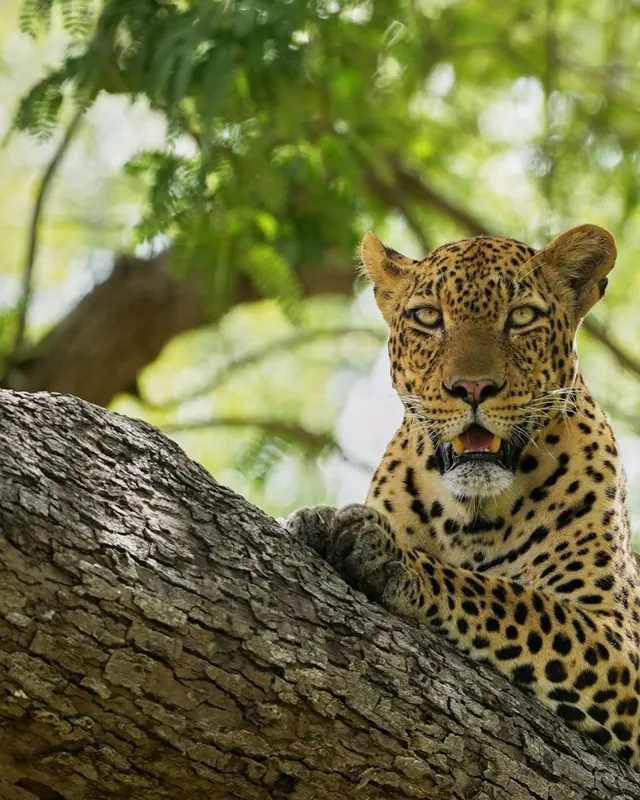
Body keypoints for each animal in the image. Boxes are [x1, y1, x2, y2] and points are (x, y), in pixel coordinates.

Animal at [285, 223, 640, 768]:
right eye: (428, 318)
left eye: (522, 317)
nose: (473, 388)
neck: (472, 514)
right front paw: (317, 521)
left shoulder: (618, 637)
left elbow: (511, 600)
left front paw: (391, 556)